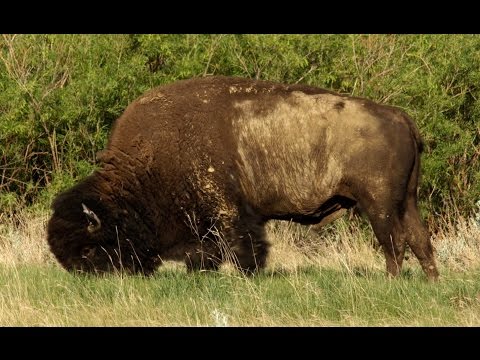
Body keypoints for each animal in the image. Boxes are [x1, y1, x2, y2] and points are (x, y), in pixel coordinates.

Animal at [47, 75, 438, 278]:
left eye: (88, 250)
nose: (86, 279)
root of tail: (400, 116)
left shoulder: (230, 211)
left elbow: (244, 246)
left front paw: (246, 275)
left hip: (379, 204)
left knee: (394, 242)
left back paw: (391, 281)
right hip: (408, 201)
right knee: (419, 238)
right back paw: (430, 281)